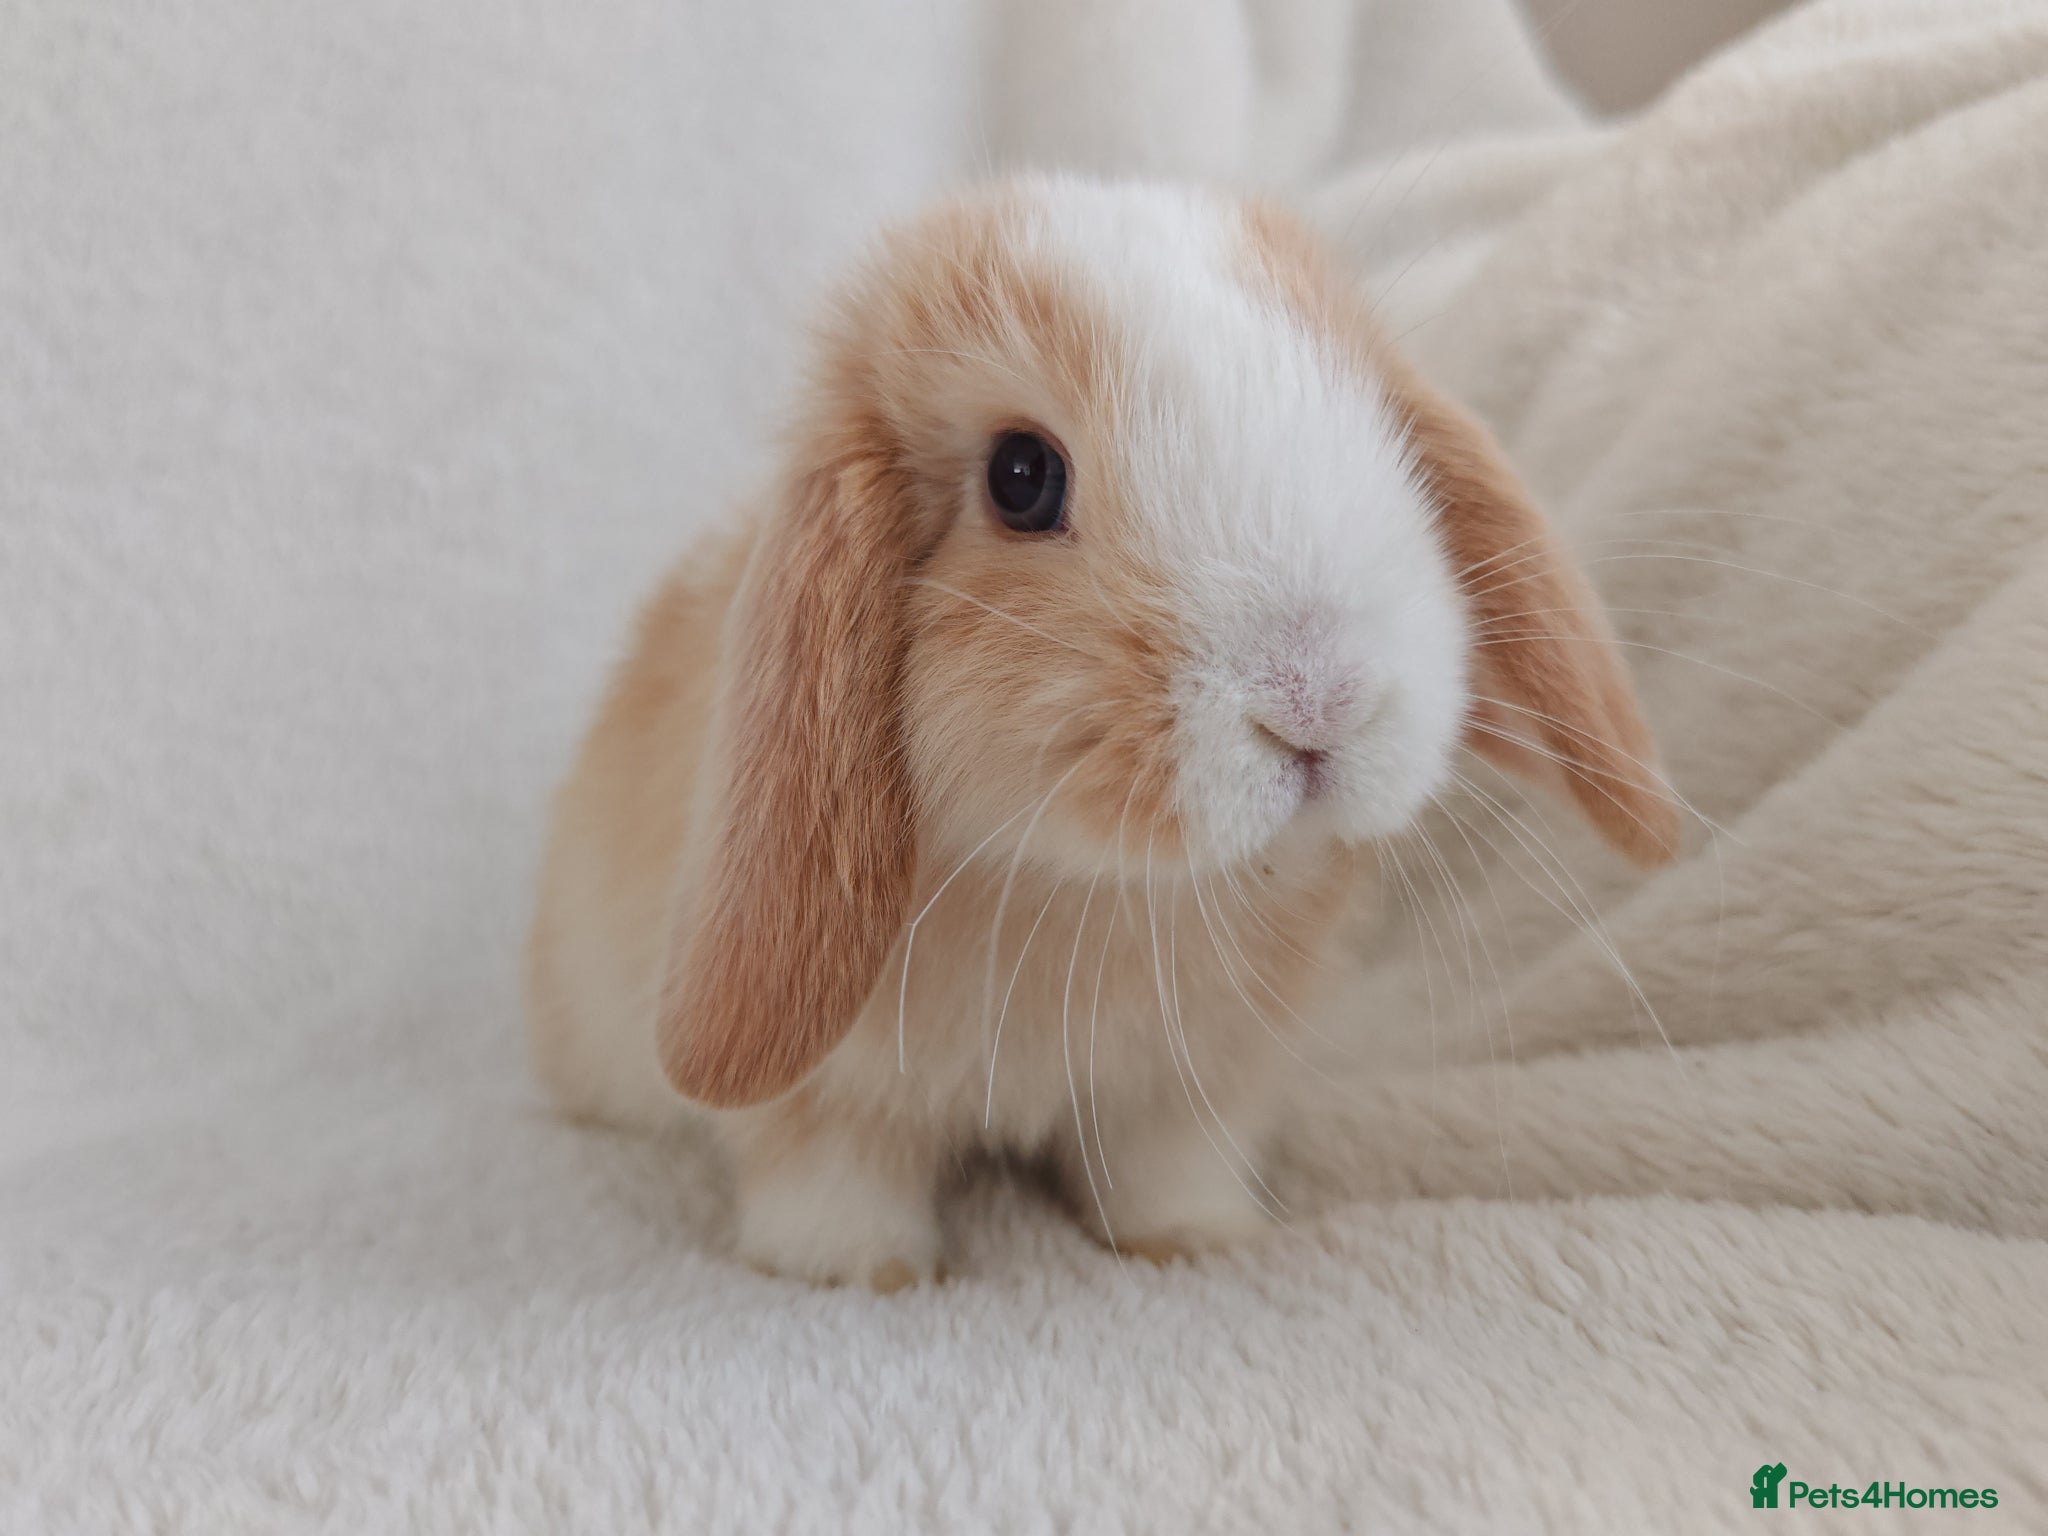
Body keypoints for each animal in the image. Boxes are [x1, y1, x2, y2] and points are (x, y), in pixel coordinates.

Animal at [527, 175, 1677, 1289]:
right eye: (1021, 476)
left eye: (1376, 428)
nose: (1321, 700)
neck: (1091, 893)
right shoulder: (827, 1106)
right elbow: (831, 1177)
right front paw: (866, 1274)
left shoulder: (1190, 1085)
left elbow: (1168, 1166)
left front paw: (1196, 1243)